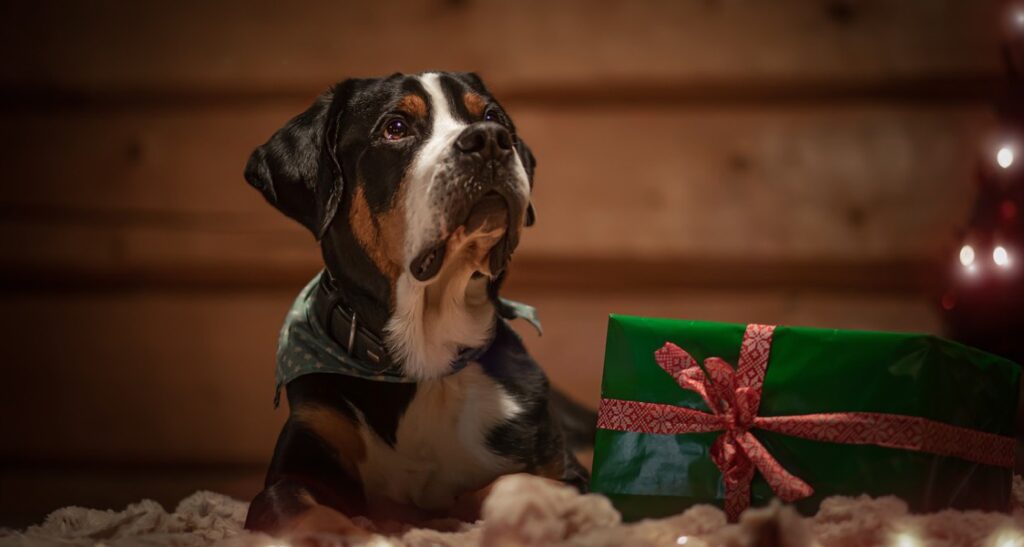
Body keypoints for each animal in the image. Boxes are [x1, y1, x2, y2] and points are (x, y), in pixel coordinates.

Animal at [243, 70, 598, 536]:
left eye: (491, 116)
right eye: (395, 127)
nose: (489, 140)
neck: (427, 358)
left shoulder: (571, 473)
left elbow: (513, 482)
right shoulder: (297, 463)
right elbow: (304, 510)